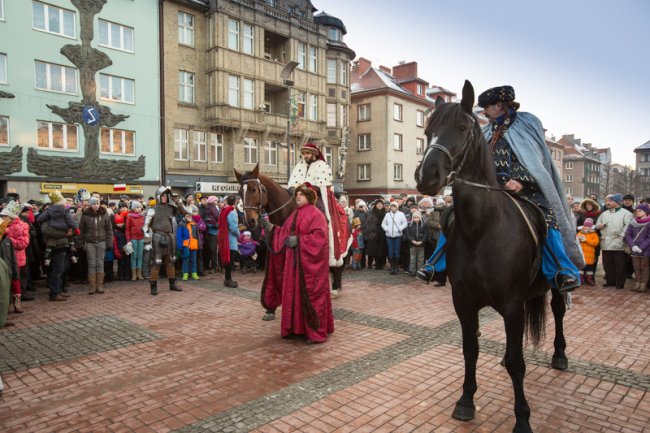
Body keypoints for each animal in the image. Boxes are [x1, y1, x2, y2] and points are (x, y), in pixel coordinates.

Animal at [416, 81, 568, 432]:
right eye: (428, 131)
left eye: (462, 128)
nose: (426, 176)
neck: (481, 228)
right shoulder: (464, 301)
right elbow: (470, 350)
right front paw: (465, 401)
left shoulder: (511, 304)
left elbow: (517, 363)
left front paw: (522, 418)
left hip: (554, 286)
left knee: (558, 312)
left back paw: (560, 355)